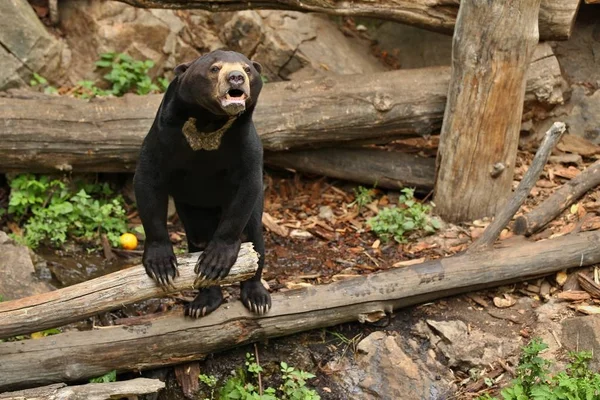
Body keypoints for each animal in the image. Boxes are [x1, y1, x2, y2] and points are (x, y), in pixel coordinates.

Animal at [135, 50, 270, 318]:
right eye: (215, 69)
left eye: (247, 69)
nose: (236, 78)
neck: (209, 124)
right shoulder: (162, 136)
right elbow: (147, 180)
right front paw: (161, 266)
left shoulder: (247, 144)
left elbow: (246, 187)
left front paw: (215, 261)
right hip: (192, 208)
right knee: (197, 238)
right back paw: (202, 303)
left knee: (254, 239)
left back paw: (256, 298)